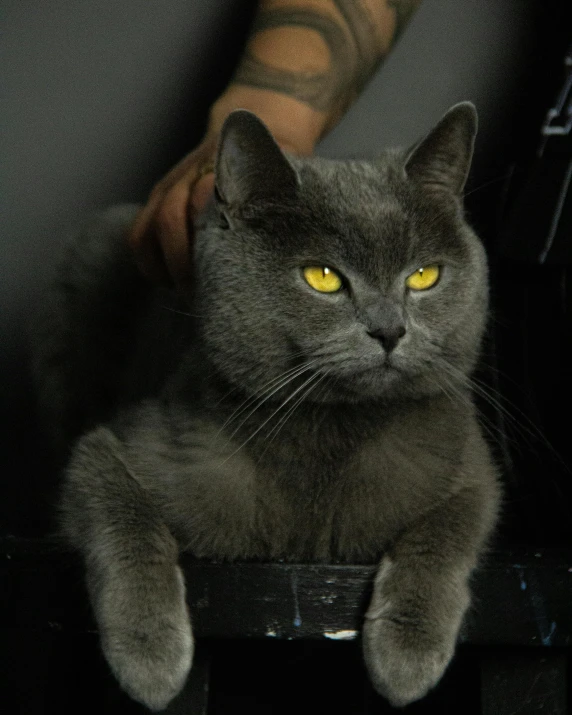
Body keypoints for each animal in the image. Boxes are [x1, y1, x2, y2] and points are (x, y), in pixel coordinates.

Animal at [34, 103, 500, 712]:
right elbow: (122, 515)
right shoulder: (111, 449)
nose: (390, 330)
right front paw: (149, 654)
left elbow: (447, 527)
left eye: (424, 276)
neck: (325, 429)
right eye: (322, 277)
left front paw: (408, 653)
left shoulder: (466, 462)